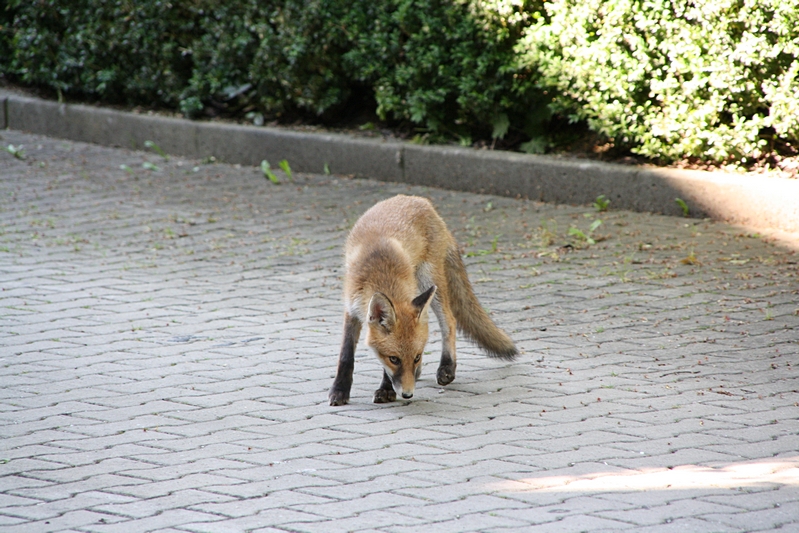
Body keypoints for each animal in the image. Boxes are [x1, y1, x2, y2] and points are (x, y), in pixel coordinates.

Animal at [326, 193, 520, 406]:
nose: (408, 394)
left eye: (417, 357)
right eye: (394, 359)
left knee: (449, 320)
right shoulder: (351, 309)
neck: (380, 273)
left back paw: (447, 367)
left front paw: (386, 389)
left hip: (430, 279)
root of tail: (420, 200)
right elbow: (346, 355)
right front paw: (340, 390)